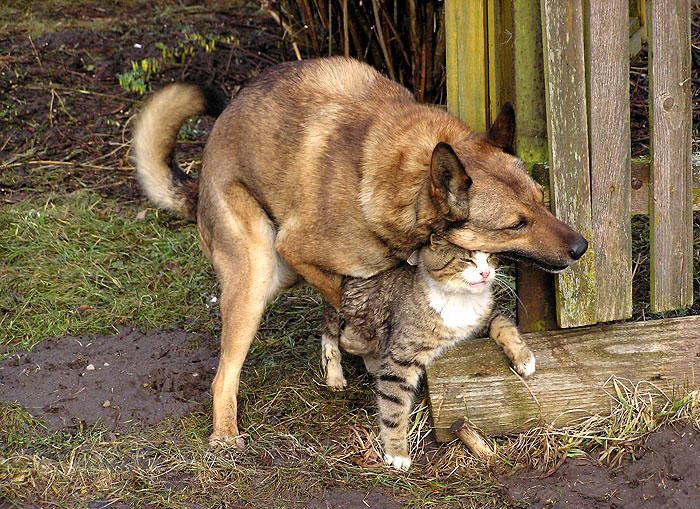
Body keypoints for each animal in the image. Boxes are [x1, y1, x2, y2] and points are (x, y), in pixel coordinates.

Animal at [131, 56, 584, 444]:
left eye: (541, 200)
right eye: (516, 224)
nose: (582, 247)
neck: (406, 180)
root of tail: (200, 179)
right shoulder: (301, 250)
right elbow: (352, 309)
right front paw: (367, 350)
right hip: (256, 274)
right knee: (224, 374)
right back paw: (225, 434)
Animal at [322, 236, 536, 470]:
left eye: (490, 257)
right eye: (466, 259)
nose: (486, 273)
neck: (459, 300)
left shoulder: (485, 318)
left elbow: (504, 325)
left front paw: (524, 359)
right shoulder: (401, 358)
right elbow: (393, 405)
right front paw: (397, 452)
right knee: (331, 332)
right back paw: (336, 375)